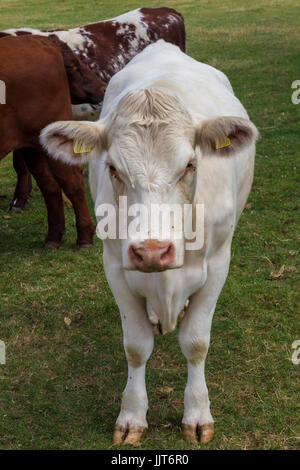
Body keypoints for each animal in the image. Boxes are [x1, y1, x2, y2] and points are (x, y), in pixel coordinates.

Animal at [41, 39, 258, 444]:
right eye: (113, 168)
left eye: (190, 164)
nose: (153, 251)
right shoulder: (115, 265)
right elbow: (136, 346)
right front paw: (132, 415)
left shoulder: (219, 262)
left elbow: (196, 342)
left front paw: (197, 413)